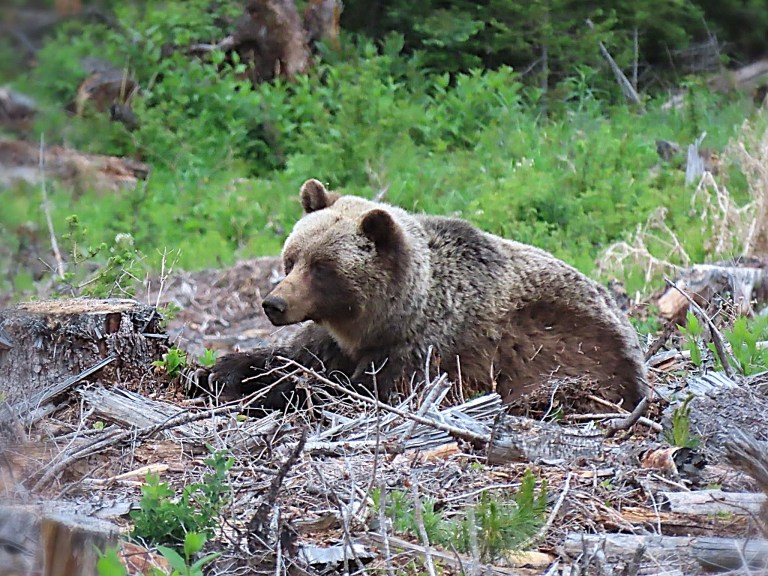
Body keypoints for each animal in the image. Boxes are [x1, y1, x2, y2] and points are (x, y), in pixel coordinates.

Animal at [207, 179, 648, 411]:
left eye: (322, 268)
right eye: (291, 258)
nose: (274, 304)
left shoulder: (425, 352)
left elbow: (358, 390)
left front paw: (279, 393)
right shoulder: (332, 340)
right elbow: (289, 356)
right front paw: (217, 372)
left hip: (580, 357)